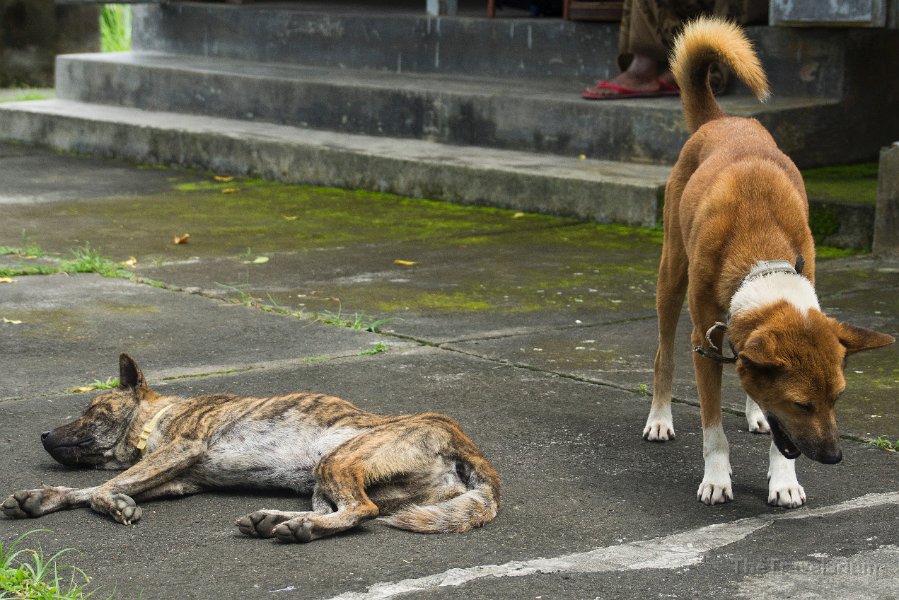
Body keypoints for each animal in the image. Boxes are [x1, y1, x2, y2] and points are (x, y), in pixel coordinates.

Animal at [3, 354, 502, 540]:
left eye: (90, 411)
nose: (43, 435)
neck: (159, 419)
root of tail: (466, 445)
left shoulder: (181, 449)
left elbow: (106, 488)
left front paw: (113, 504)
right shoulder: (177, 480)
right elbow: (91, 489)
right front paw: (40, 498)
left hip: (338, 459)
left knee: (361, 511)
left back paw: (296, 528)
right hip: (324, 478)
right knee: (340, 510)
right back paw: (279, 521)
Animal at [648, 17, 892, 506]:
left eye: (838, 398)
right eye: (802, 404)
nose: (835, 458)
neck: (761, 257)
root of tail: (721, 120)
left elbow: (781, 437)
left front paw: (784, 480)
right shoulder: (704, 344)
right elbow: (713, 430)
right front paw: (716, 478)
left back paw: (755, 412)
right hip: (671, 275)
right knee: (664, 353)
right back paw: (660, 418)